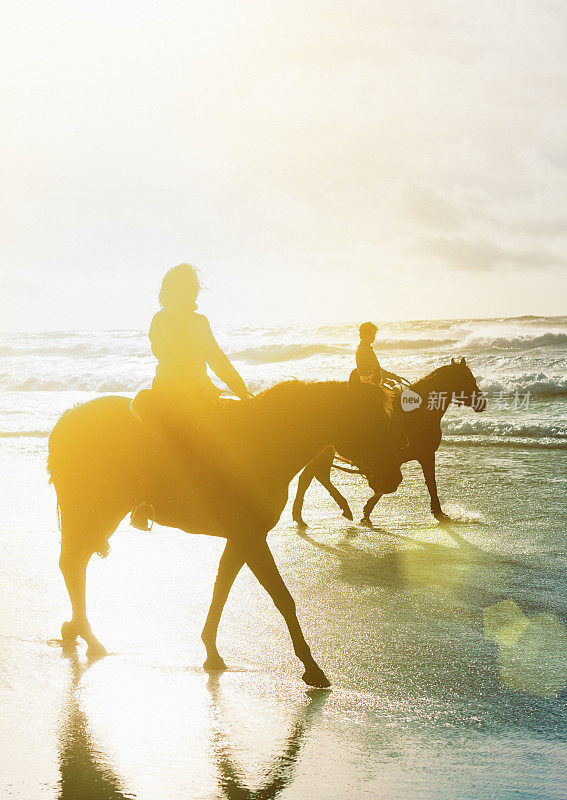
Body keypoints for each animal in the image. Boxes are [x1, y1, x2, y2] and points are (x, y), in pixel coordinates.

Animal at [50, 368, 404, 688]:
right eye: (367, 420)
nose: (392, 478)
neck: (261, 443)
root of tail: (67, 419)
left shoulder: (241, 538)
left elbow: (221, 589)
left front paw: (211, 650)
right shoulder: (251, 537)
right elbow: (282, 598)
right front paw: (312, 667)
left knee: (76, 562)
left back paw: (77, 630)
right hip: (92, 510)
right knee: (72, 564)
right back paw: (87, 635)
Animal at [292, 360, 488, 524]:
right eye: (468, 379)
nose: (482, 403)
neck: (420, 413)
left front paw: (367, 510)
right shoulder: (423, 455)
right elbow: (429, 483)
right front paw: (438, 511)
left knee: (309, 477)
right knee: (315, 477)